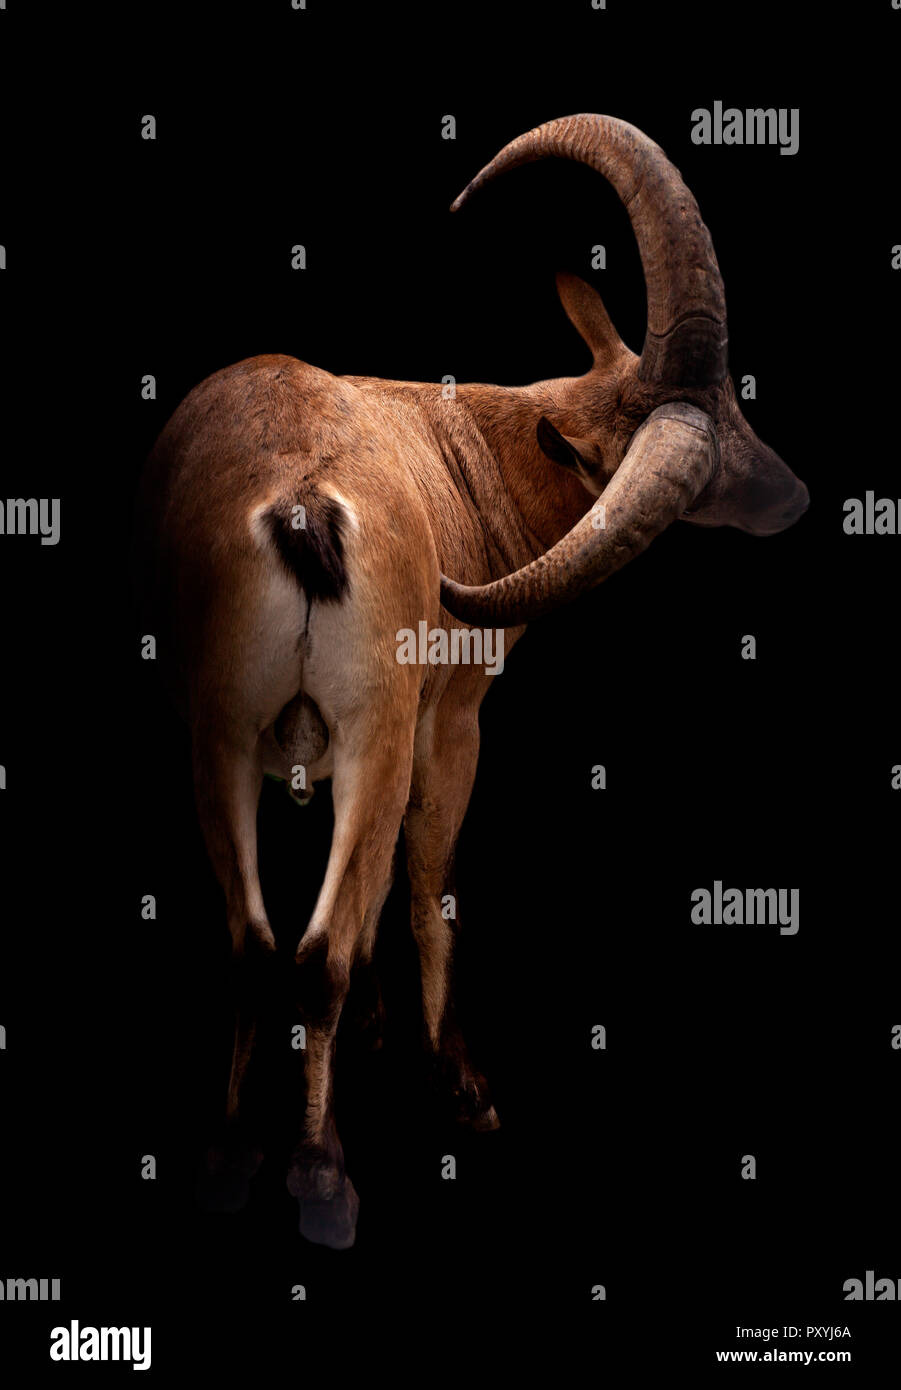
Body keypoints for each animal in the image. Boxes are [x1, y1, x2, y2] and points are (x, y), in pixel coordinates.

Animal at [139, 113, 808, 1250]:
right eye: (709, 454)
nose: (791, 493)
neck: (474, 460)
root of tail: (302, 503)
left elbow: (357, 905)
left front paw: (373, 1036)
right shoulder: (443, 727)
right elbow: (423, 892)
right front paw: (464, 1089)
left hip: (217, 734)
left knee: (255, 942)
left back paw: (230, 1159)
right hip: (366, 729)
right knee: (310, 950)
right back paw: (323, 1178)